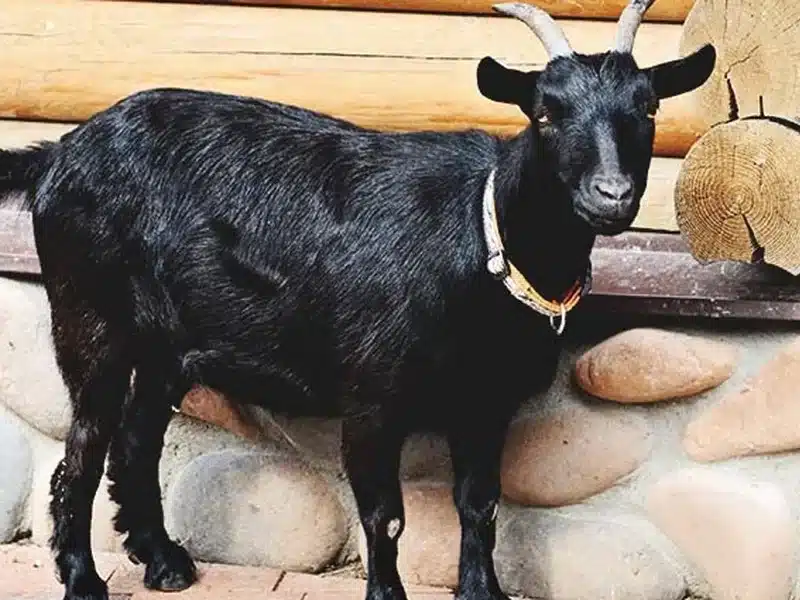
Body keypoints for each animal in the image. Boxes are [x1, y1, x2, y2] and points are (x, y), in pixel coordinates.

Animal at [0, 2, 714, 599]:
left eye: (648, 108)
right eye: (544, 113)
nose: (612, 195)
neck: (482, 236)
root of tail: (59, 152)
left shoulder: (485, 401)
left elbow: (480, 503)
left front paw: (483, 592)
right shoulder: (373, 397)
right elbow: (385, 517)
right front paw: (387, 595)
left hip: (165, 347)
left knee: (136, 442)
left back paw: (165, 563)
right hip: (89, 318)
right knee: (82, 453)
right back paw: (84, 581)